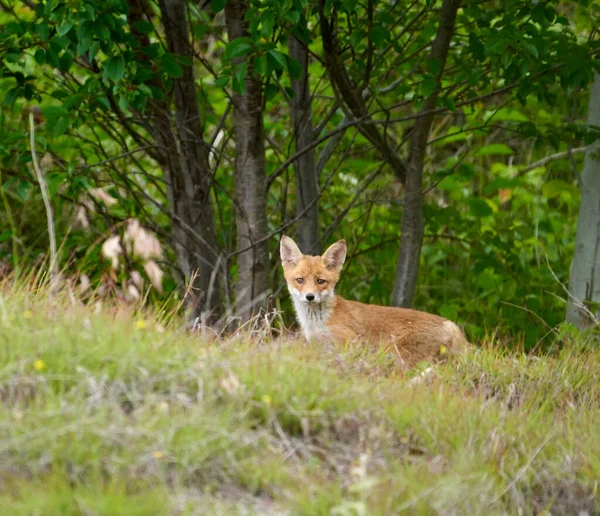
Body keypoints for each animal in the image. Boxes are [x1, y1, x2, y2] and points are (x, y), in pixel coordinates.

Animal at [278, 236, 472, 368]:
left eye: (320, 281)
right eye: (300, 280)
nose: (310, 296)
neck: (317, 321)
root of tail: (450, 324)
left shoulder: (351, 342)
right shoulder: (319, 346)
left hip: (399, 356)